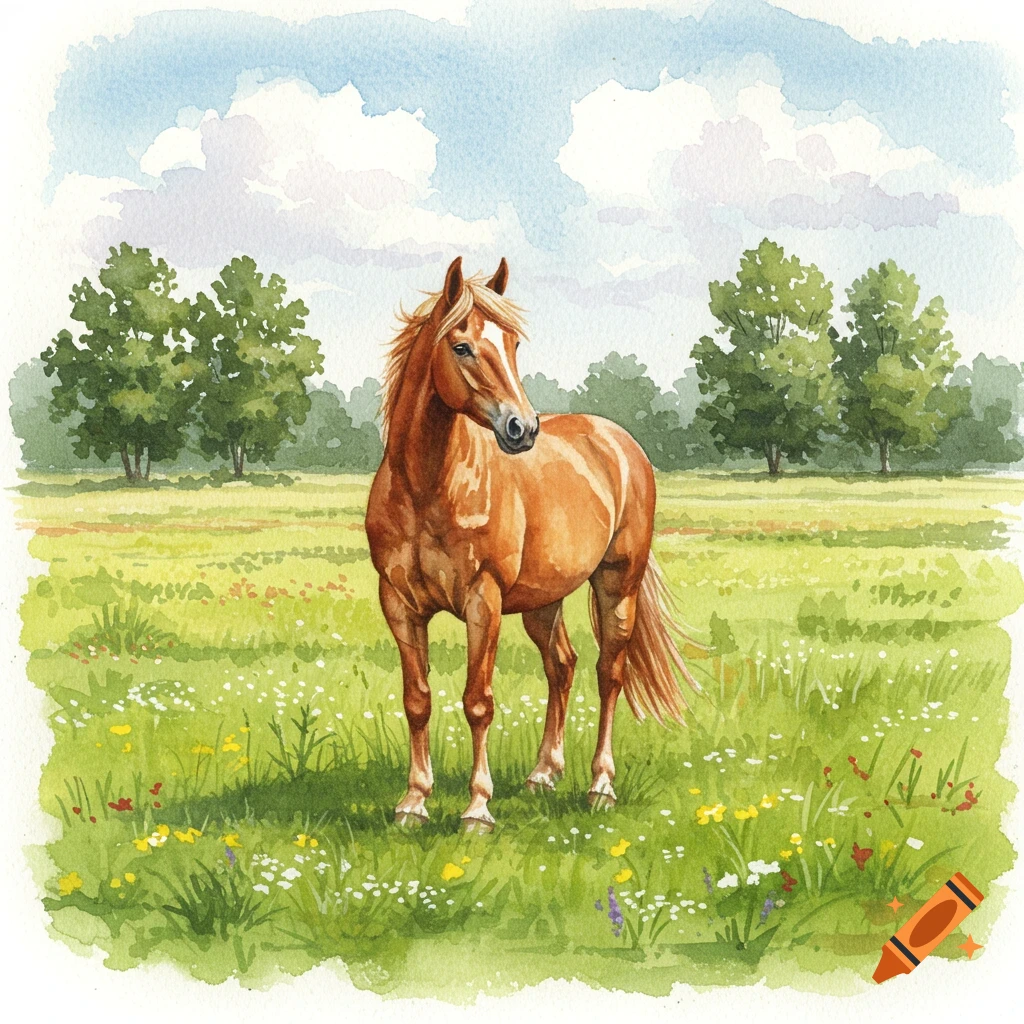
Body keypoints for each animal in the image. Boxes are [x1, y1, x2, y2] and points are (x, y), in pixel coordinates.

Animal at [365, 256, 699, 831]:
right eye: (461, 347)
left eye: (514, 343)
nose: (522, 428)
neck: (427, 487)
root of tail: (619, 441)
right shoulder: (399, 604)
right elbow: (417, 700)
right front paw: (414, 801)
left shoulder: (484, 601)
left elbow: (478, 701)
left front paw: (477, 808)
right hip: (544, 600)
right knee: (561, 665)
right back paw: (544, 774)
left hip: (618, 585)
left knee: (608, 673)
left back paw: (600, 785)